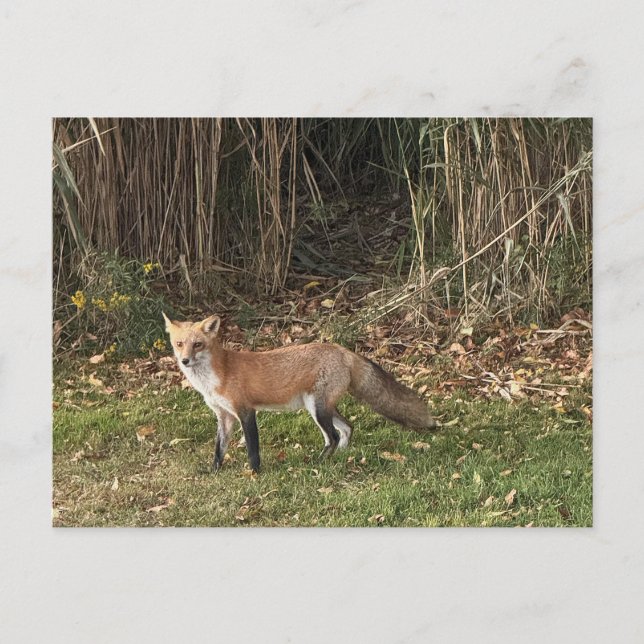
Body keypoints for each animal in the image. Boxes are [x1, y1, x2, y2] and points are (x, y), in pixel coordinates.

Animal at [163, 312, 437, 473]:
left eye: (198, 344)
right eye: (179, 344)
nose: (185, 360)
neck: (217, 375)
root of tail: (342, 350)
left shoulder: (246, 411)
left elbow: (252, 449)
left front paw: (255, 474)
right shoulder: (224, 416)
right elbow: (219, 449)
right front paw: (214, 471)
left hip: (317, 408)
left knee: (332, 436)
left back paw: (318, 463)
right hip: (319, 406)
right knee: (348, 427)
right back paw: (339, 457)